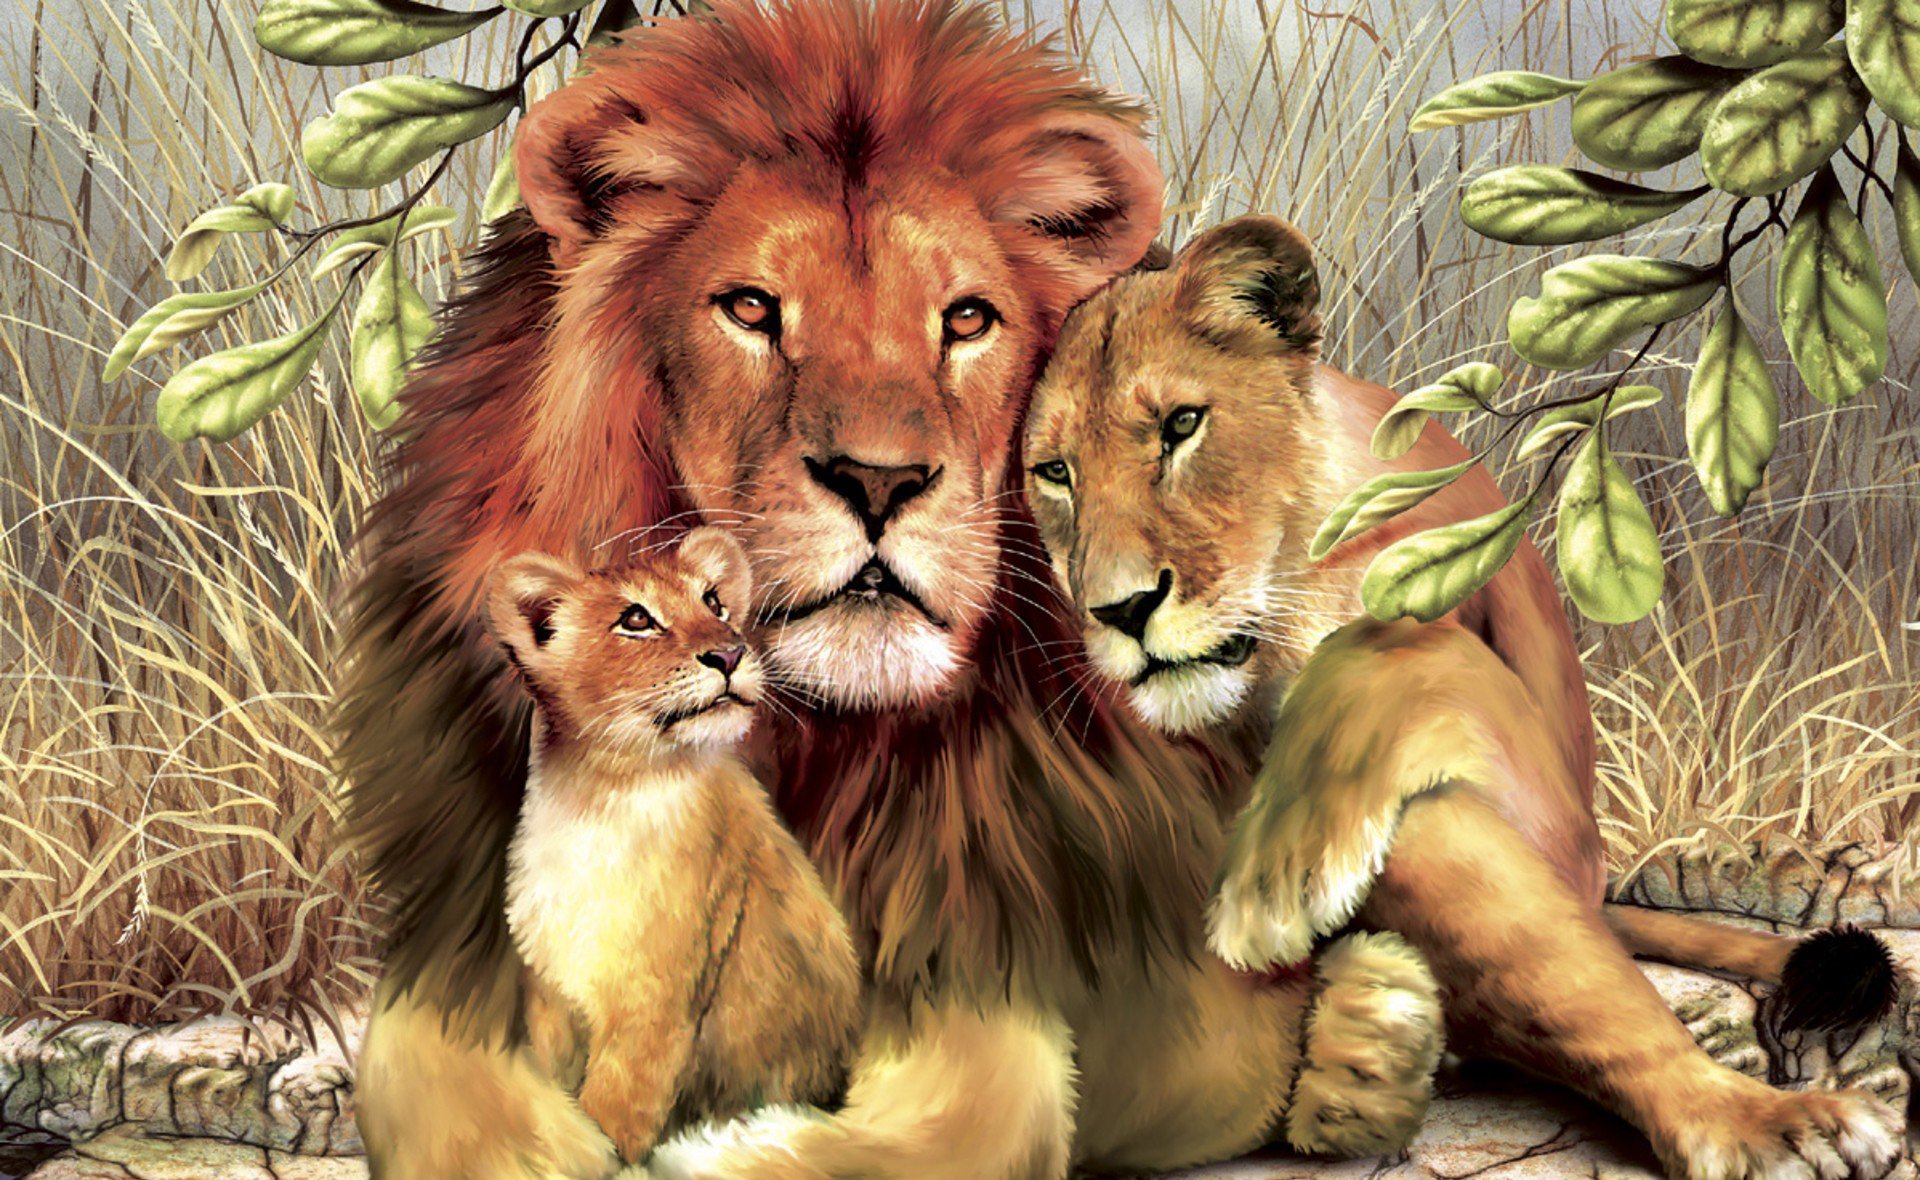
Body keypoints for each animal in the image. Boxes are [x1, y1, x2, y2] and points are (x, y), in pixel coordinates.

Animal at [1021, 213, 1904, 1178]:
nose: (1121, 609)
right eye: (1055, 472)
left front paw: (1276, 886)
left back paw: (1766, 1123)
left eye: (1182, 425)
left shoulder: (1549, 792)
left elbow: (1395, 641)